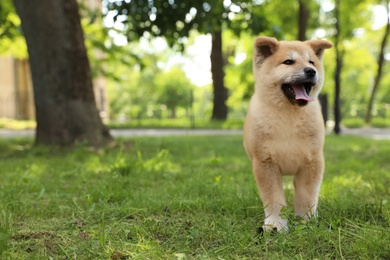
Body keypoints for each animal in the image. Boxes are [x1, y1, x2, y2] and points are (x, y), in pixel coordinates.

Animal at [244, 36, 332, 232]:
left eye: (311, 62)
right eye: (288, 62)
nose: (311, 71)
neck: (289, 117)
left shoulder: (312, 162)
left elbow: (307, 196)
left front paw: (305, 221)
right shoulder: (265, 163)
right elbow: (273, 198)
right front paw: (275, 224)